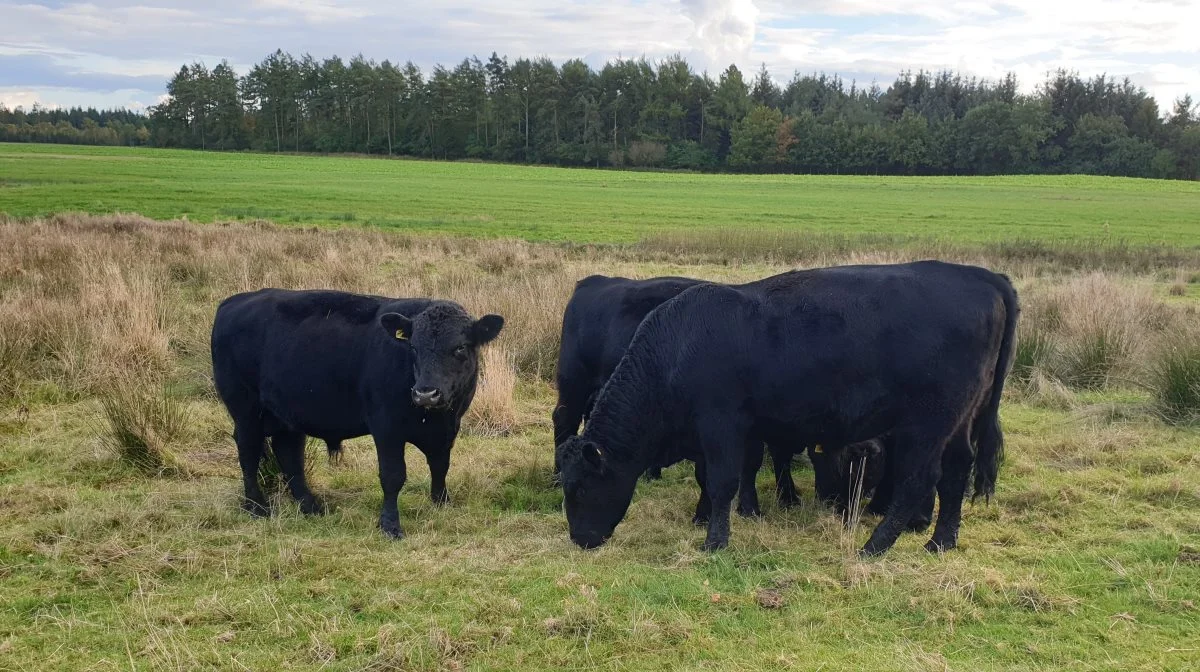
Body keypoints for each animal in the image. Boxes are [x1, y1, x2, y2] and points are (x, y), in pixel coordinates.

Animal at [211, 285, 501, 537]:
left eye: (460, 347)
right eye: (413, 347)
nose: (425, 393)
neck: (433, 417)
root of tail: (233, 302)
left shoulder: (447, 430)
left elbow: (440, 466)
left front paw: (442, 504)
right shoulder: (386, 429)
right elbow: (393, 476)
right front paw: (390, 525)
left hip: (287, 416)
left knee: (289, 455)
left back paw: (311, 506)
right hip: (246, 412)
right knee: (248, 453)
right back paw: (257, 506)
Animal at [556, 262, 1017, 556]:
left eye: (578, 489)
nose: (579, 539)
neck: (678, 346)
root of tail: (983, 276)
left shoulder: (722, 425)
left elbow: (723, 482)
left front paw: (715, 542)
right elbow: (713, 478)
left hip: (926, 425)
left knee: (918, 480)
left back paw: (874, 546)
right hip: (959, 422)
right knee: (956, 473)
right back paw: (940, 542)